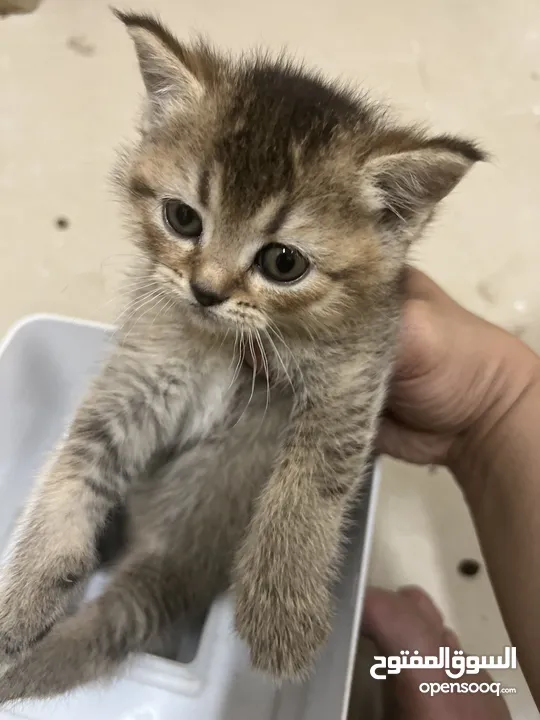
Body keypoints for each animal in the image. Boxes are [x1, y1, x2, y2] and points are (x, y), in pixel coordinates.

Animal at [0, 8, 486, 700]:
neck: (225, 345)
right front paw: (27, 591)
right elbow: (78, 457)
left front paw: (281, 607)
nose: (205, 290)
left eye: (283, 262)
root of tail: (173, 569)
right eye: (182, 219)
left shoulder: (358, 366)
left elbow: (314, 474)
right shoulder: (144, 366)